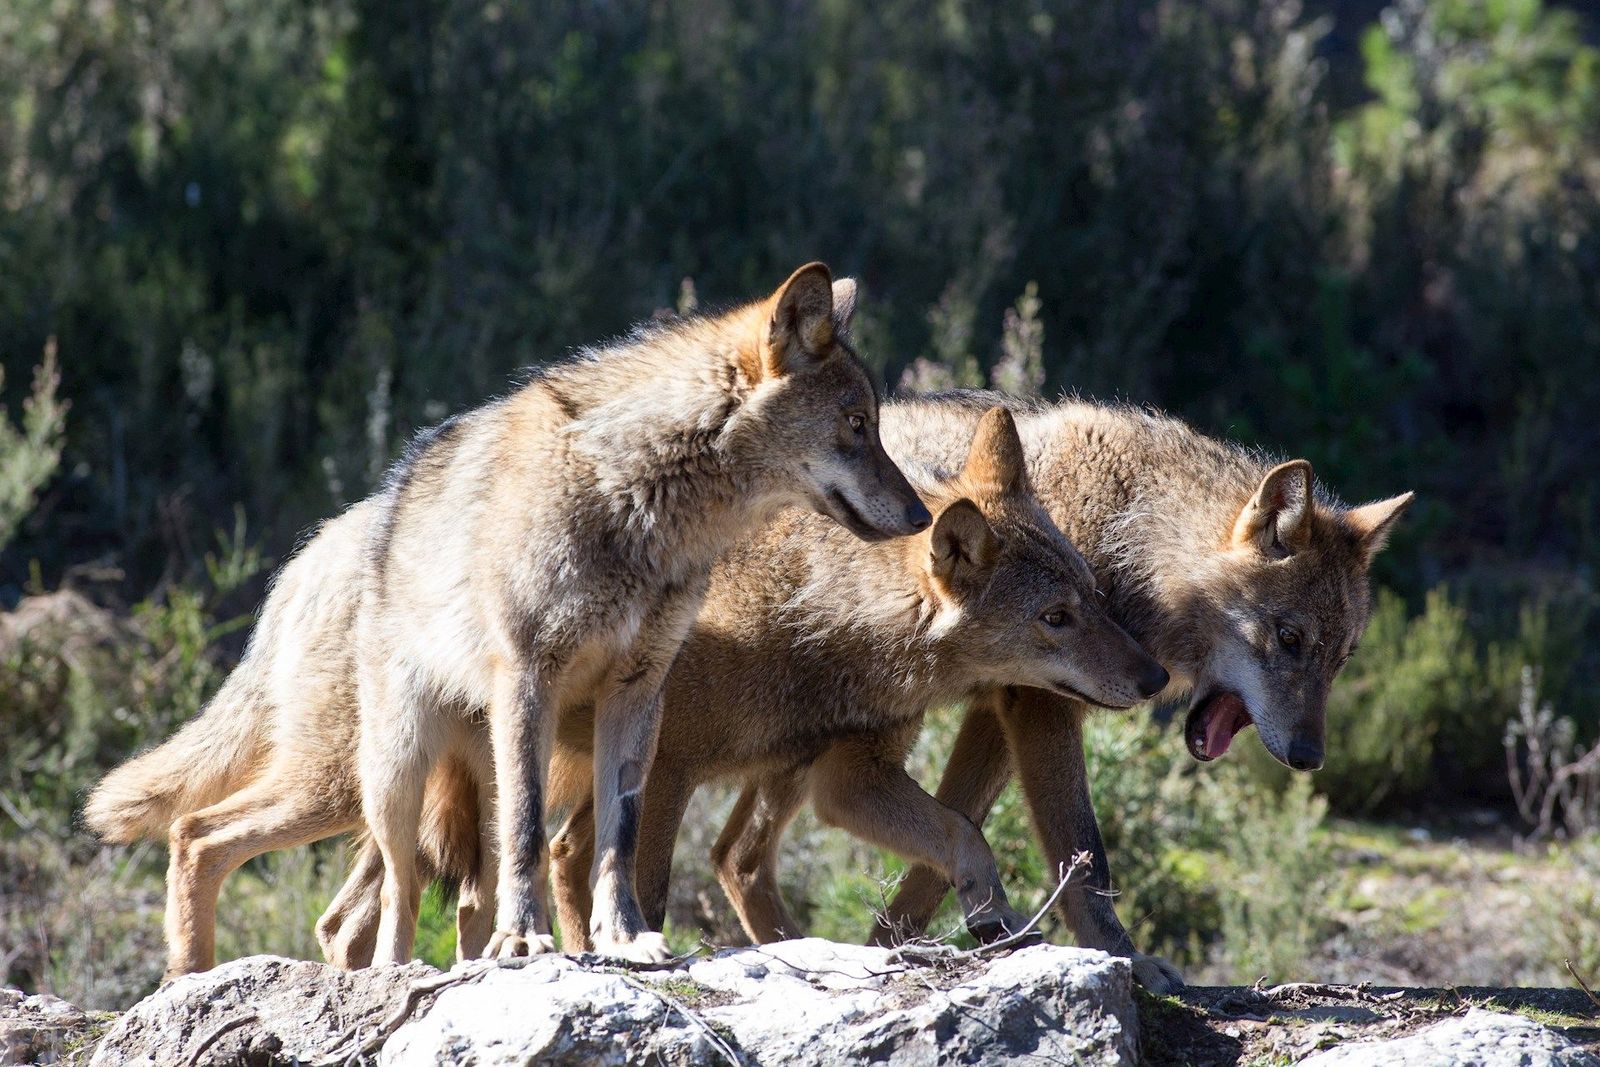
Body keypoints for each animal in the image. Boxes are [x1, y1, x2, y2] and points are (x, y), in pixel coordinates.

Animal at [85, 263, 929, 974]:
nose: (924, 515)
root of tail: (310, 555)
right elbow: (529, 833)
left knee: (420, 899)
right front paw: (527, 940)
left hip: (444, 776)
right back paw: (234, 977)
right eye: (857, 423)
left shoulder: (639, 694)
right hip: (377, 777)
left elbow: (618, 839)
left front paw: (625, 938)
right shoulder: (531, 676)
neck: (637, 500)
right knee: (244, 850)